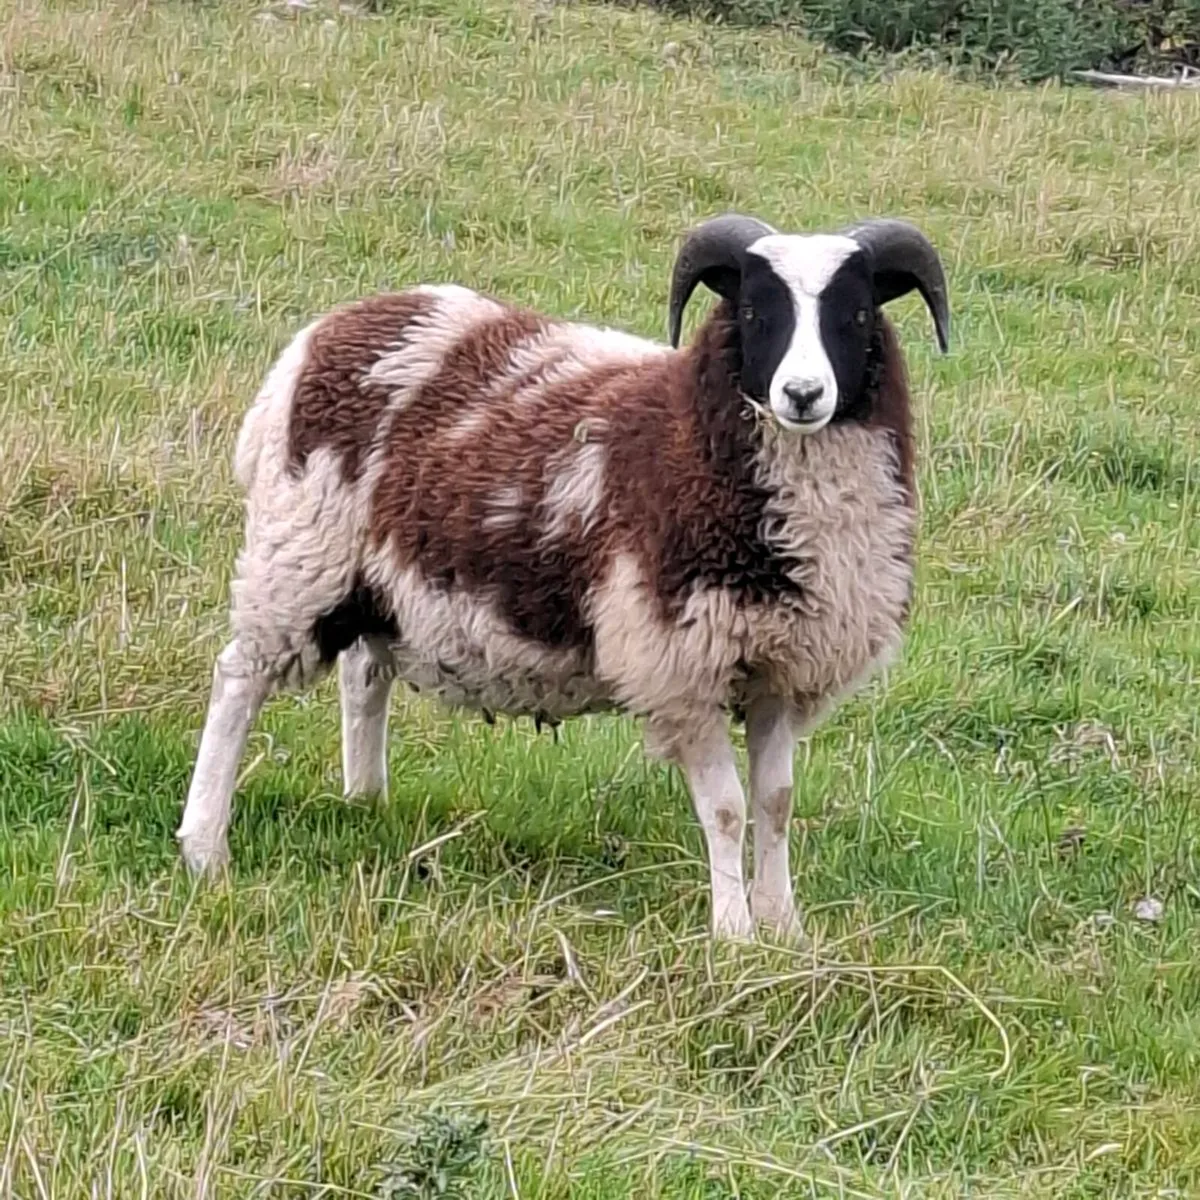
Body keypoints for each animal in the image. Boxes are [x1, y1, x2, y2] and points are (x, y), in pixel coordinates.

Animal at [176, 212, 950, 942]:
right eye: (758, 311)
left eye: (855, 313)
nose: (803, 394)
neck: (687, 437)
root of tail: (323, 335)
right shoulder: (679, 664)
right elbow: (728, 810)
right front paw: (733, 935)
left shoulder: (780, 670)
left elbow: (776, 804)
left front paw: (785, 928)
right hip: (298, 556)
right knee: (238, 679)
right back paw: (204, 846)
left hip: (379, 580)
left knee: (363, 675)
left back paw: (366, 803)